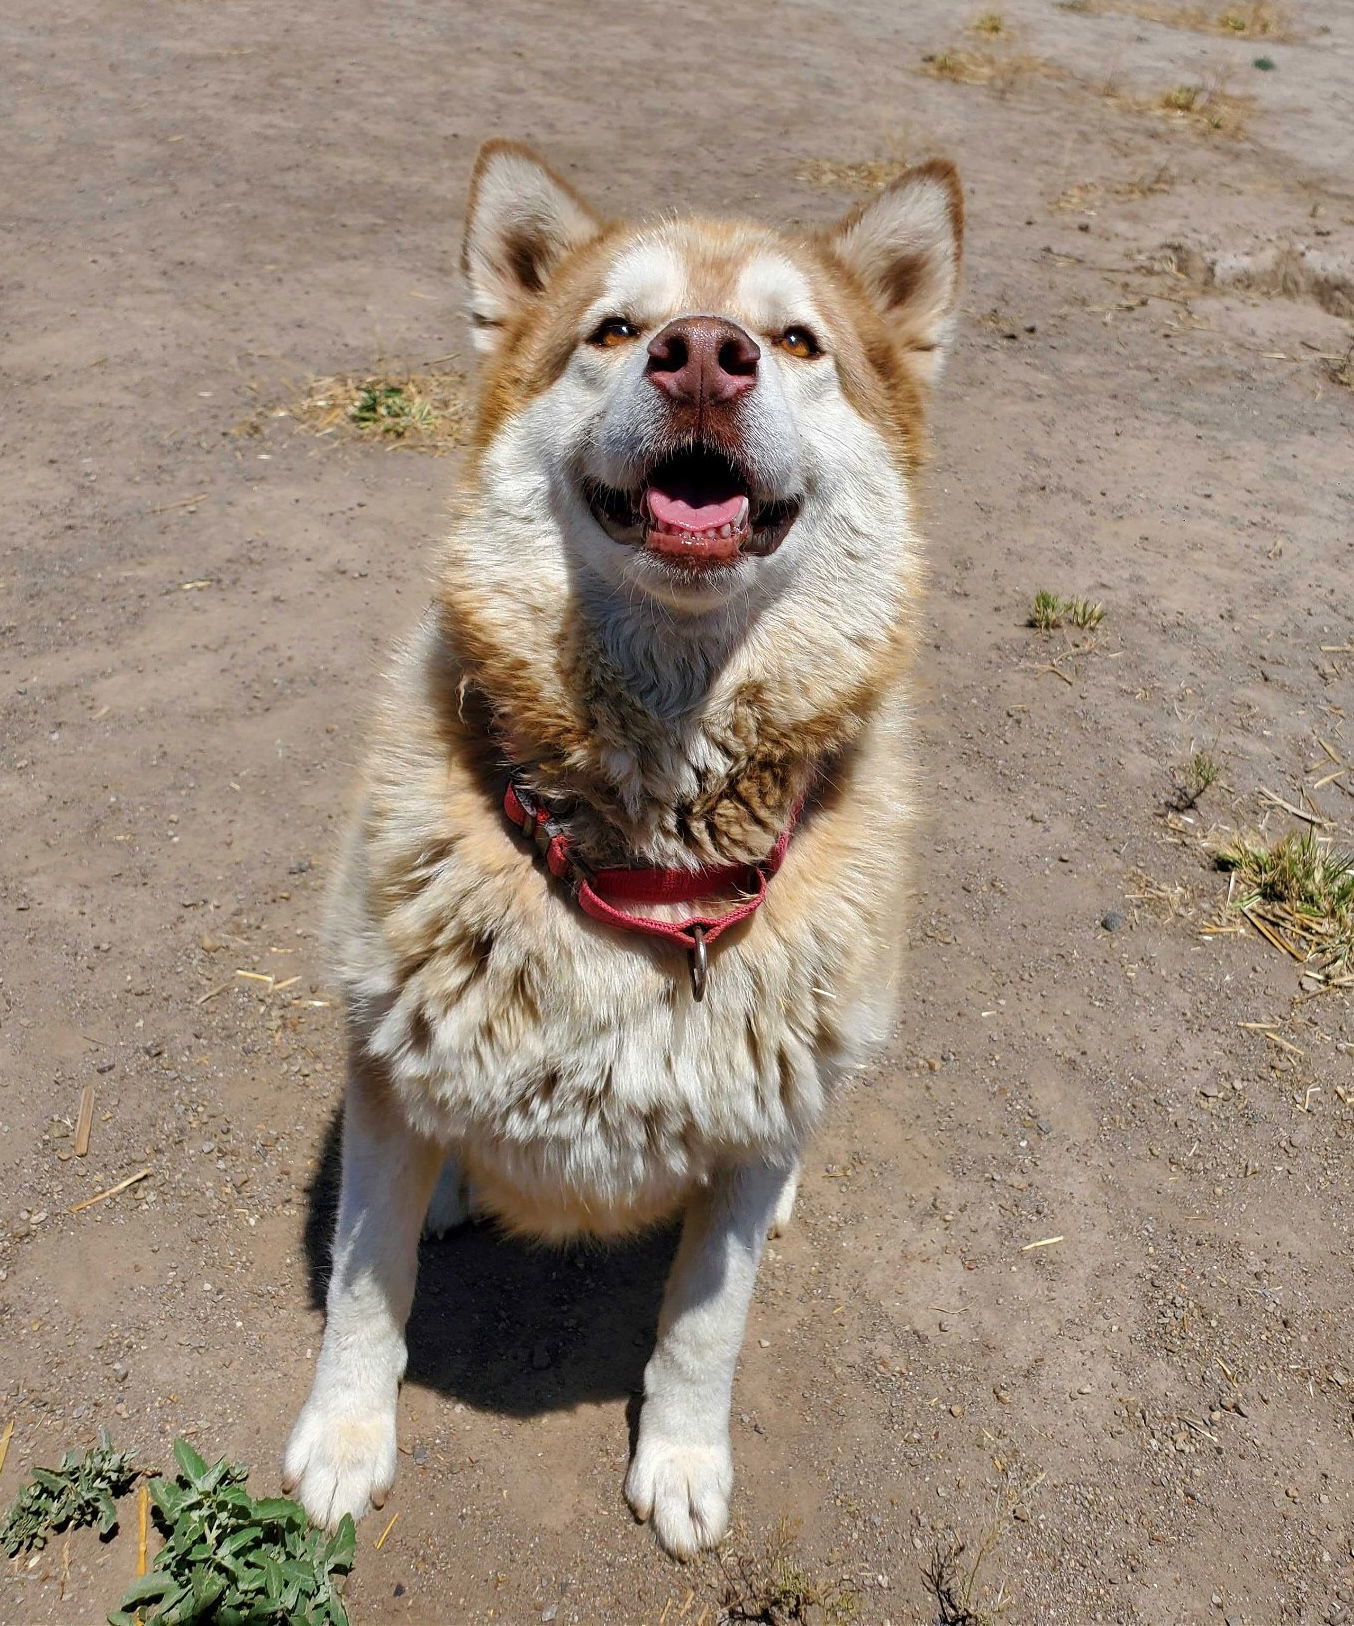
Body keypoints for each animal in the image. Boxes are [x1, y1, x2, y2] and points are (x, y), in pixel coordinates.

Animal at [286, 143, 962, 1560]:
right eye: (612, 328)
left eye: (797, 341)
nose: (702, 354)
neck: (645, 849)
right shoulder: (382, 1063)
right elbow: (370, 1287)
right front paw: (345, 1439)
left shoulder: (745, 1165)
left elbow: (705, 1320)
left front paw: (684, 1458)